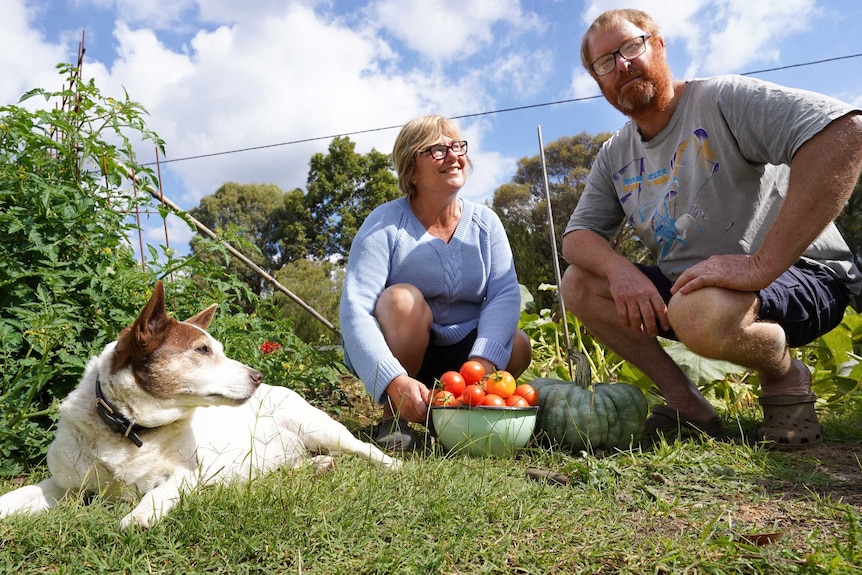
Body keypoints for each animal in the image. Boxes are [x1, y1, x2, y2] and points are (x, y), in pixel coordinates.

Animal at [0, 282, 402, 528]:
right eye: (203, 350)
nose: (257, 376)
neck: (129, 431)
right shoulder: (64, 487)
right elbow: (21, 494)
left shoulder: (187, 475)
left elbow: (161, 490)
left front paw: (140, 515)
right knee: (292, 464)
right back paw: (317, 466)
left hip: (319, 426)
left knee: (362, 448)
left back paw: (394, 465)